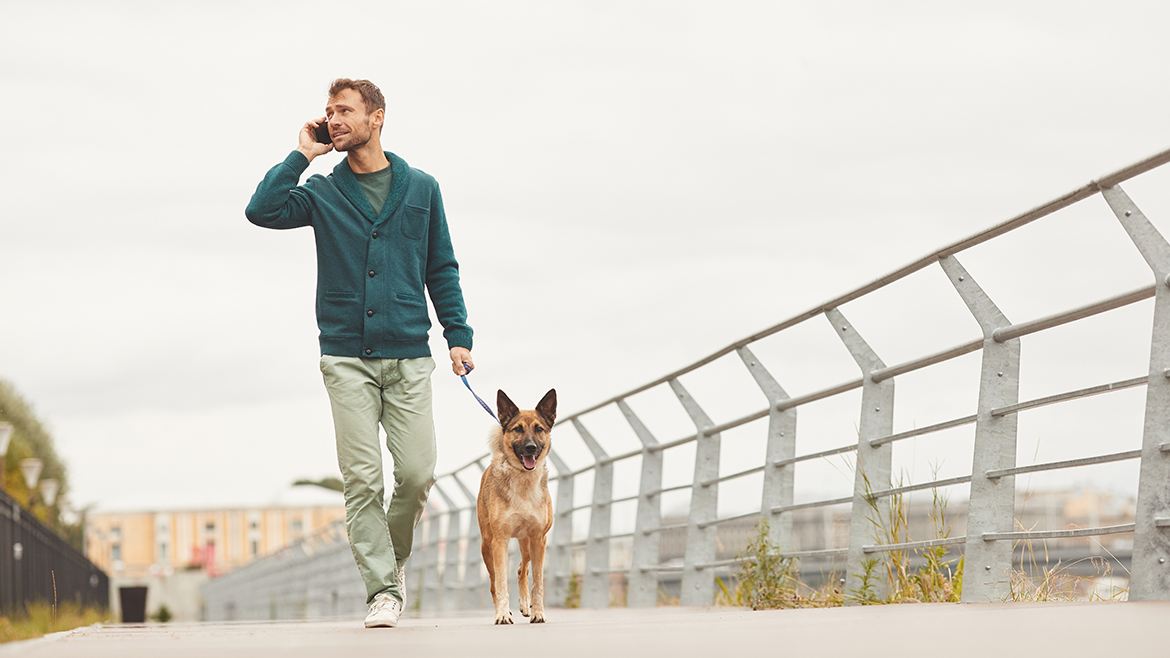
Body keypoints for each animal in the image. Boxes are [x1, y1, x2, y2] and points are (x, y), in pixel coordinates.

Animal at [479, 386, 561, 622]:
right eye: (517, 429)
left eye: (539, 429)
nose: (530, 448)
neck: (523, 481)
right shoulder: (499, 541)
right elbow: (500, 583)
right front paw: (502, 614)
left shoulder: (539, 539)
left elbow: (538, 582)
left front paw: (538, 612)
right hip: (486, 545)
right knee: (493, 583)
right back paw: (504, 609)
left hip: (526, 543)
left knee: (522, 569)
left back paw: (526, 605)